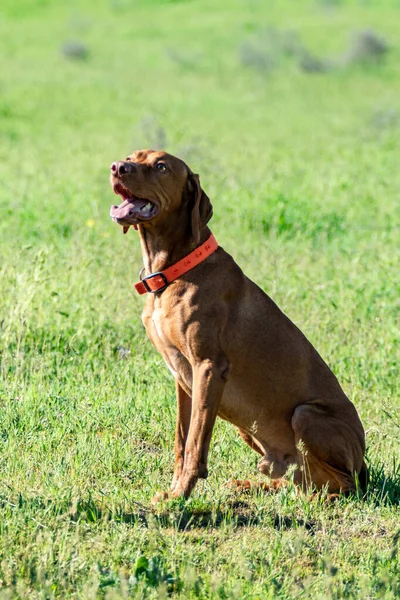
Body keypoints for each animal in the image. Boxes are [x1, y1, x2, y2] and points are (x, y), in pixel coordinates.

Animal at [109, 148, 366, 500]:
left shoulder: (209, 367)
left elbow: (195, 443)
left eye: (161, 166)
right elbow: (181, 440)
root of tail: (364, 462)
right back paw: (254, 485)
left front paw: (181, 496)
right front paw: (174, 490)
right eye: (131, 156)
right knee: (297, 478)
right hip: (251, 430)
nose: (117, 168)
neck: (174, 270)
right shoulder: (182, 378)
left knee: (340, 485)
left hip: (306, 415)